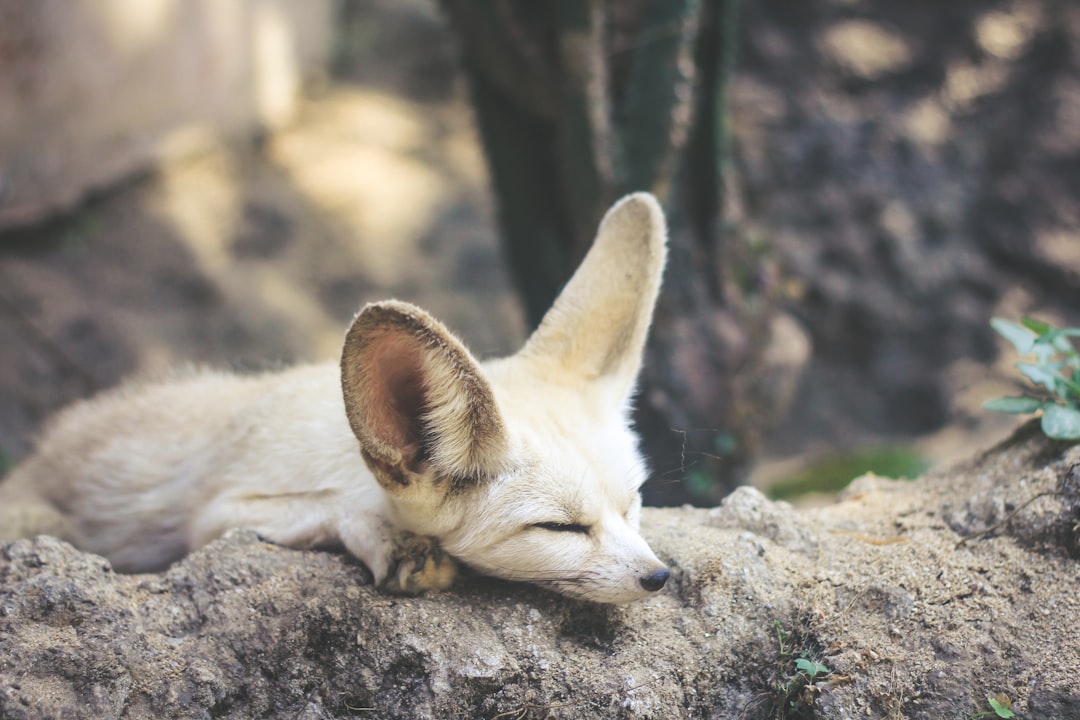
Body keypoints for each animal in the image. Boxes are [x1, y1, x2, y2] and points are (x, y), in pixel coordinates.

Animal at [0, 193, 671, 603]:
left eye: (634, 504)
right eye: (559, 527)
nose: (660, 577)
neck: (342, 445)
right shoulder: (216, 514)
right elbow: (328, 506)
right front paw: (392, 543)